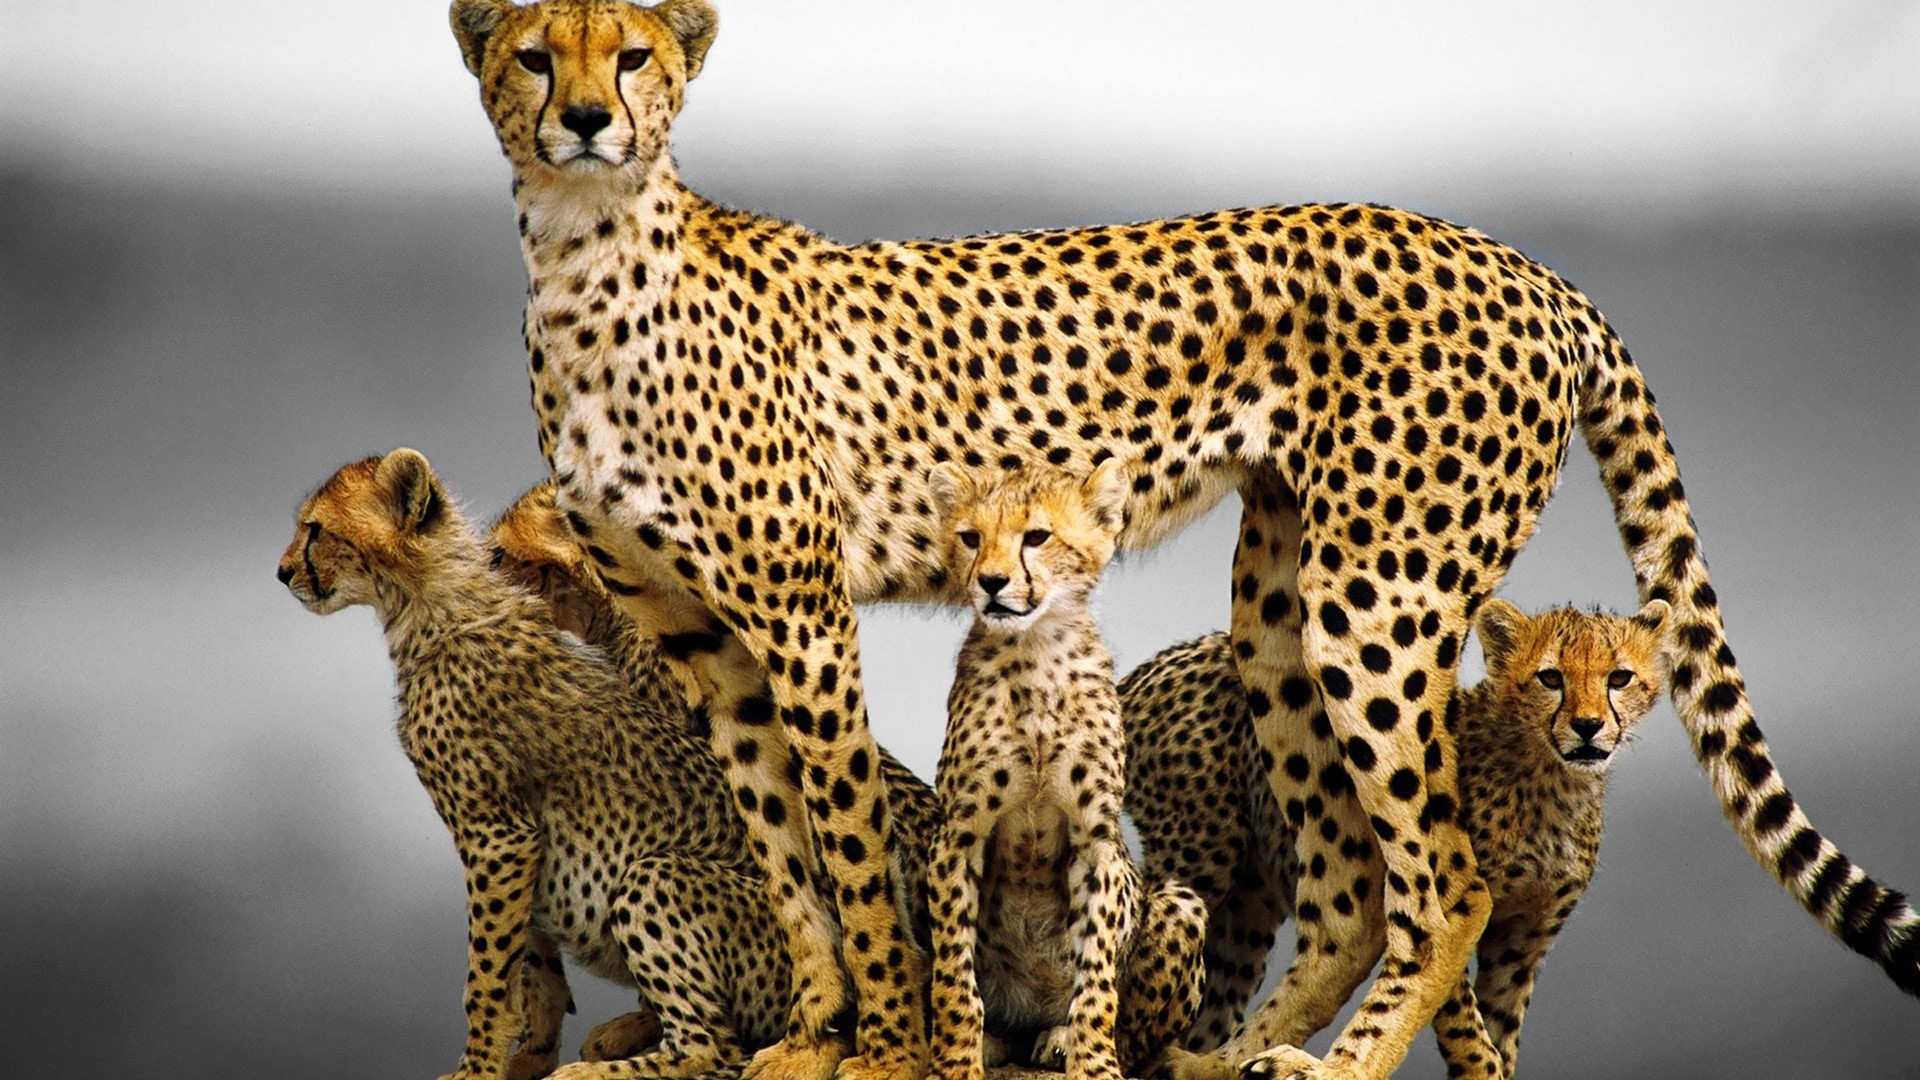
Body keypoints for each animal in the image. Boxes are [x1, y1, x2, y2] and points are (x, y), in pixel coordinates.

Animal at [279, 448, 793, 1080]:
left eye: (316, 530)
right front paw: (526, 1053)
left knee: (715, 1047)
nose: (282, 572)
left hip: (657, 877)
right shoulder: (515, 844)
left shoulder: (498, 836)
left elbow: (486, 972)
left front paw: (476, 1067)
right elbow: (527, 961)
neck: (433, 604)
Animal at [924, 459, 1207, 1080]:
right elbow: (954, 972)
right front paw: (955, 1061)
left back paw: (1061, 1039)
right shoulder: (958, 833)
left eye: (1036, 537)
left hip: (1181, 903)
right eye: (970, 538)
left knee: (1138, 1034)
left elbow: (1097, 978)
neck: (1034, 651)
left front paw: (1093, 1061)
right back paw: (997, 1040)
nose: (992, 582)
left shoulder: (1096, 840)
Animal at [1122, 598, 1672, 1080]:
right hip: (1202, 856)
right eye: (1551, 678)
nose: (1588, 726)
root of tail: (1172, 655)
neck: (1550, 775)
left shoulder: (1523, 943)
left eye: (1618, 678)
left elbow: (1501, 1030)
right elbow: (1465, 1025)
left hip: (1248, 910)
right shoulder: (1446, 903)